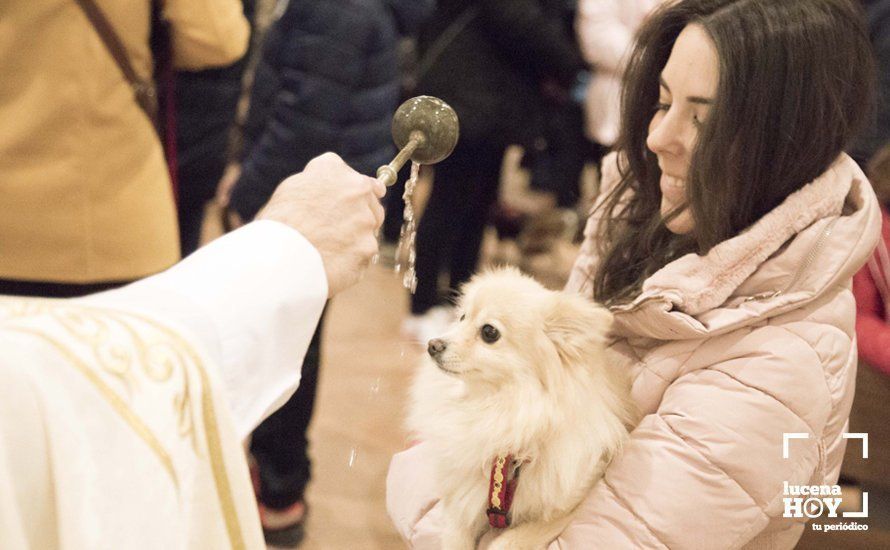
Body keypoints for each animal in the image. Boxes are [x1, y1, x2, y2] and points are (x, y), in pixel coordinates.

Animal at [406, 270, 636, 548]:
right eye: (462, 318)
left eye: (489, 332)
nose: (432, 344)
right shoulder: (460, 498)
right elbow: (455, 535)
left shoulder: (569, 505)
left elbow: (509, 541)